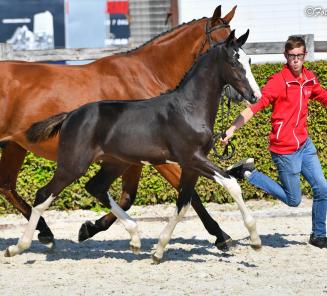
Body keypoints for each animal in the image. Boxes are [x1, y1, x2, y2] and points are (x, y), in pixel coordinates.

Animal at [0, 5, 256, 250]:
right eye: (227, 48)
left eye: (249, 58)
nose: (247, 96)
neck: (147, 73)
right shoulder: (165, 159)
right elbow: (189, 194)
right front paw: (221, 235)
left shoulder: (133, 159)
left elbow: (128, 197)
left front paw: (89, 229)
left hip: (15, 146)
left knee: (7, 185)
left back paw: (44, 232)